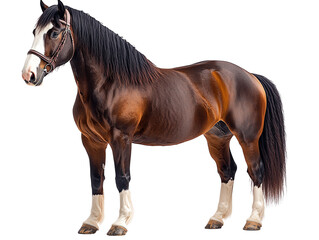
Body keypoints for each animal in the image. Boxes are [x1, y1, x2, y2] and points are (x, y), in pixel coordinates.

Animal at [22, 0, 288, 236]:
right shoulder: (91, 140)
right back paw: (217, 218)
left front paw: (120, 223)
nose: (29, 74)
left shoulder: (121, 138)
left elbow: (122, 177)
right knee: (227, 171)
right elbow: (96, 179)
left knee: (256, 171)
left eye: (54, 32)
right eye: (35, 31)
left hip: (248, 138)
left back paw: (253, 220)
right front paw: (91, 222)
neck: (110, 83)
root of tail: (249, 75)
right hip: (217, 137)